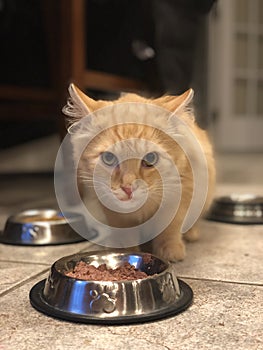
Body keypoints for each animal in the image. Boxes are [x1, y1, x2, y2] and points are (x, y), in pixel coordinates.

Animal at [63, 84, 216, 260]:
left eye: (150, 158)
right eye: (109, 158)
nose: (128, 188)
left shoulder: (182, 191)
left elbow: (170, 226)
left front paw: (170, 249)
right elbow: (121, 227)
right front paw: (123, 249)